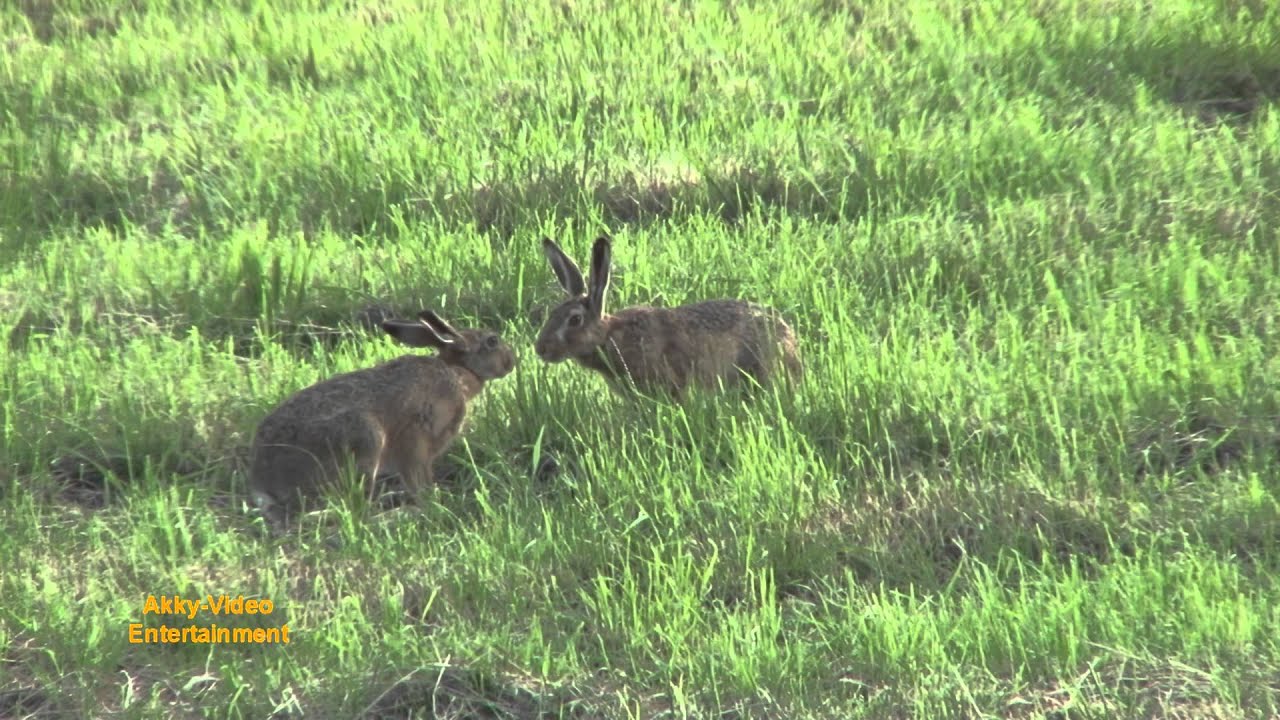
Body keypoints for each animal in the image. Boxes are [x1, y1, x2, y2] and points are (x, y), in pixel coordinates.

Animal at [248, 309, 516, 528]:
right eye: (492, 341)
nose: (512, 362)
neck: (457, 373)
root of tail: (264, 479)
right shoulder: (415, 439)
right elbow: (418, 479)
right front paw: (430, 503)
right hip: (365, 440)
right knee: (356, 512)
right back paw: (399, 514)